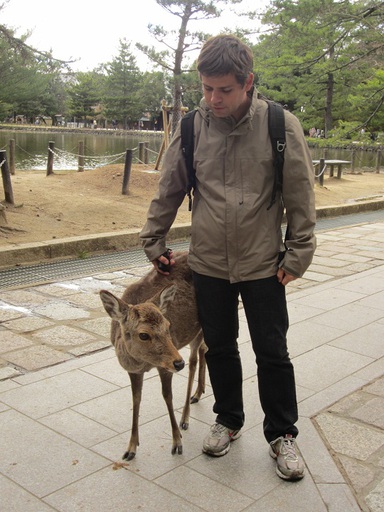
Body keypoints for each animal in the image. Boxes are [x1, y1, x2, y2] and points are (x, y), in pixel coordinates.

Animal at [100, 252, 206, 460]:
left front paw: (177, 443)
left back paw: (185, 417)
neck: (144, 363)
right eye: (143, 334)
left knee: (194, 360)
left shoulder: (165, 366)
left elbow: (167, 396)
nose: (178, 363)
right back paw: (198, 393)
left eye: (168, 325)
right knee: (204, 351)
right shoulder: (133, 371)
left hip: (198, 330)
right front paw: (131, 448)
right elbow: (136, 399)